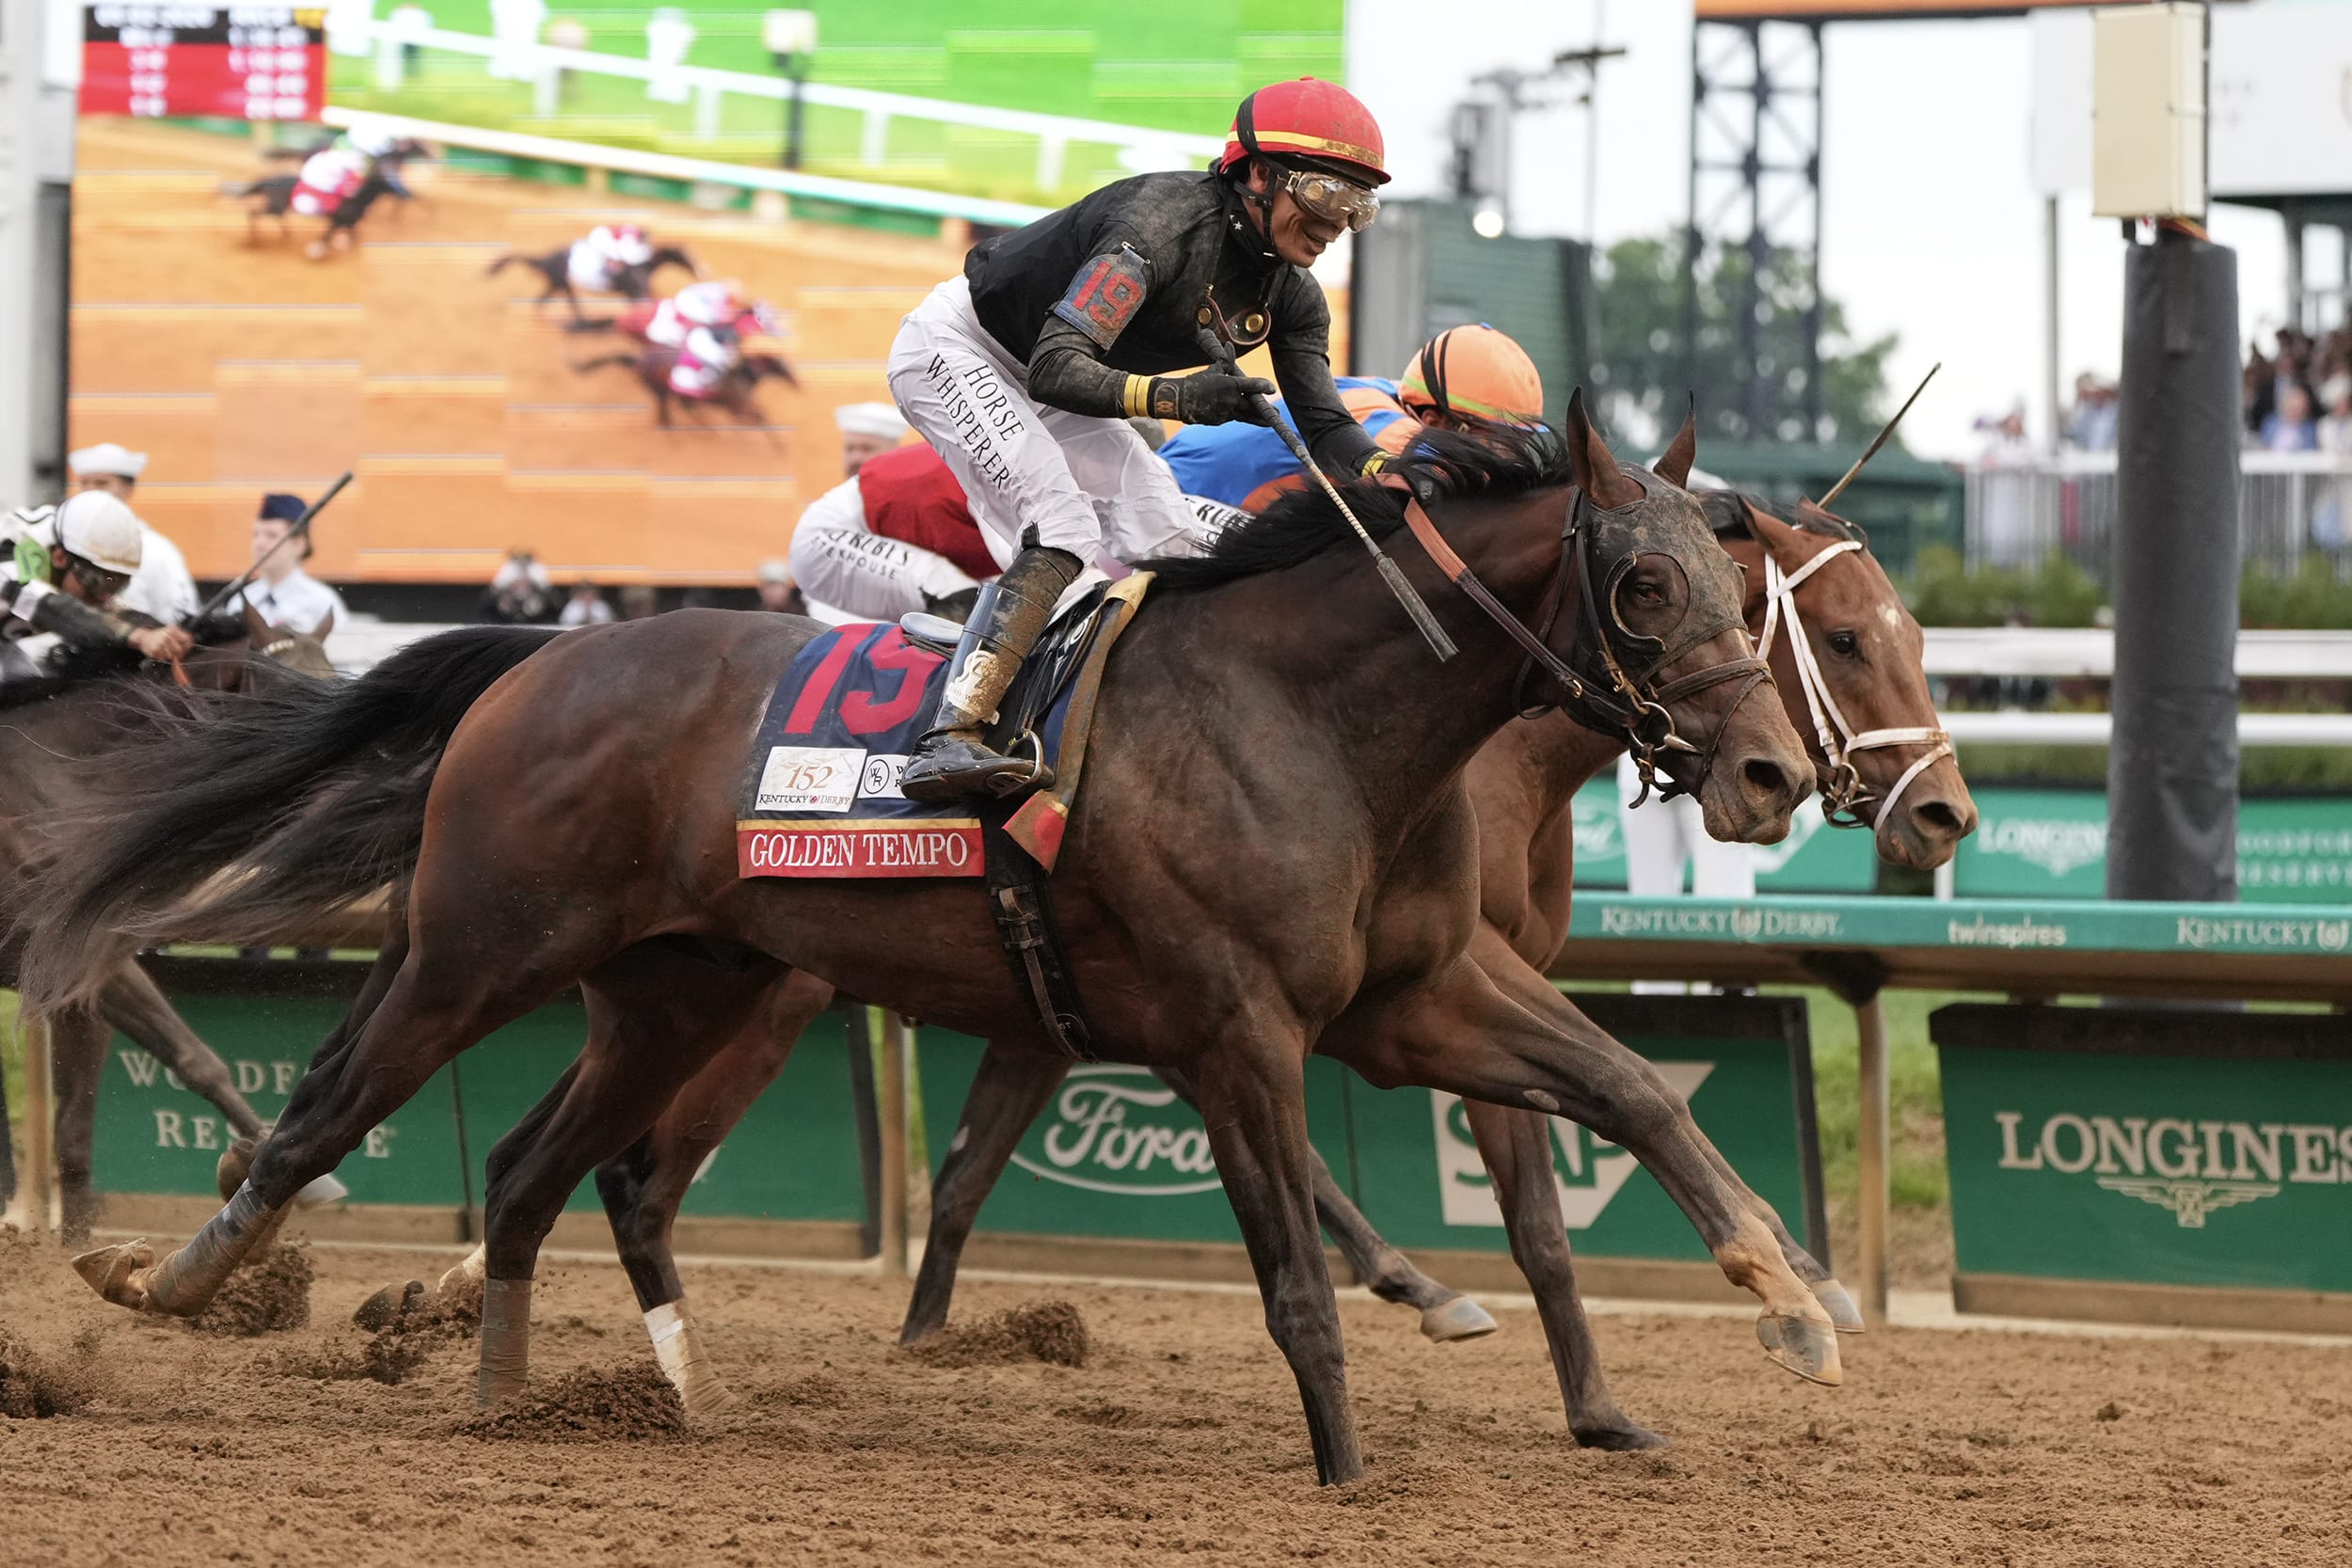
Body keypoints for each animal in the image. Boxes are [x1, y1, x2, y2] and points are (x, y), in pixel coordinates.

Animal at [0, 604, 339, 1241]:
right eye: (284, 695)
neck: (68, 784)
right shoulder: (83, 964)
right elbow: (198, 1061)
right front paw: (305, 1179)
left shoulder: (83, 985)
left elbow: (75, 1133)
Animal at [355, 483, 1973, 1448]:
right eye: (1841, 632)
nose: (1943, 809)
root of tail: (537, 659)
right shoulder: (1253, 1004)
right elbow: (1496, 1203)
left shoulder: (1410, 987)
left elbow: (1619, 1104)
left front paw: (1760, 1311)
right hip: (695, 983)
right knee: (613, 1163)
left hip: (700, 984)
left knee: (606, 1162)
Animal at [486, 244, 701, 326]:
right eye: (688, 258)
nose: (701, 270)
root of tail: (543, 260)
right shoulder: (634, 292)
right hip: (562, 284)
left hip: (558, 284)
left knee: (542, 303)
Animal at [570, 344, 795, 441]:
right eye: (782, 366)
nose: (797, 383)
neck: (742, 374)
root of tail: (639, 361)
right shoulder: (737, 405)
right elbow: (759, 417)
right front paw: (778, 446)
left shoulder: (736, 406)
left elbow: (755, 417)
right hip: (661, 392)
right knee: (666, 415)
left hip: (671, 393)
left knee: (679, 410)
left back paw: (709, 431)